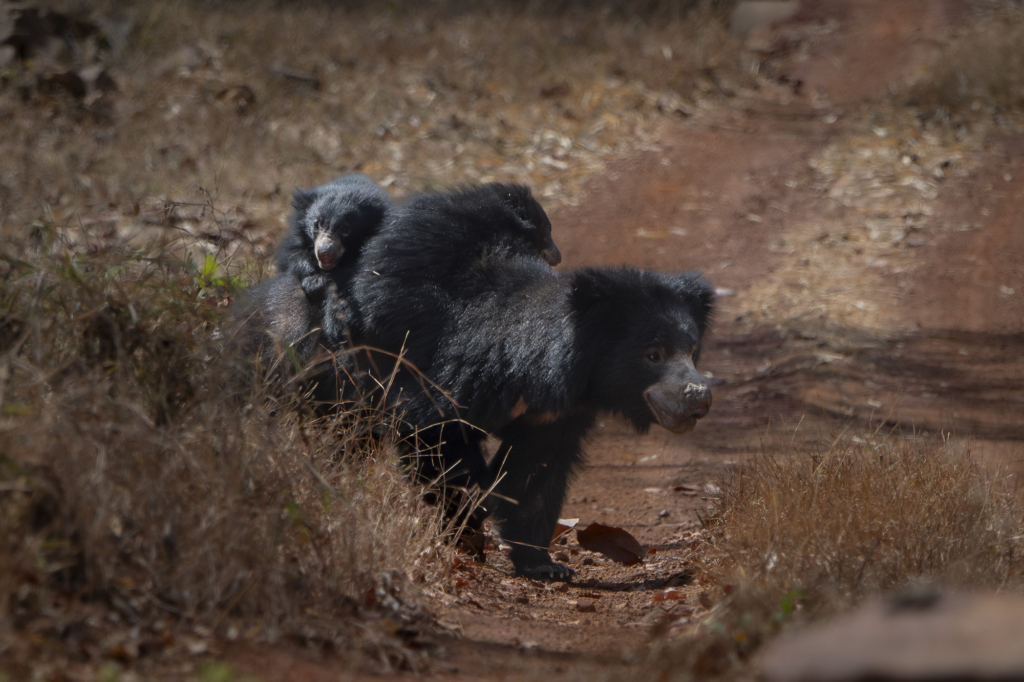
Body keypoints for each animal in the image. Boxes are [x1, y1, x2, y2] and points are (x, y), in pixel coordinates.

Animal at [352, 184, 712, 577]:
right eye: (653, 355)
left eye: (692, 350)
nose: (698, 396)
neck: (533, 375)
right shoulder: (452, 378)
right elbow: (432, 437)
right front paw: (469, 520)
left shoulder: (553, 416)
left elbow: (536, 474)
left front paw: (542, 563)